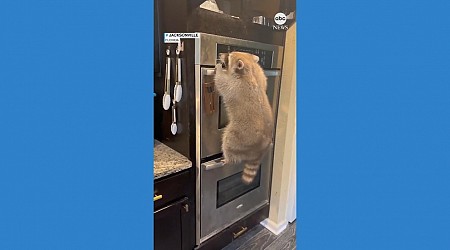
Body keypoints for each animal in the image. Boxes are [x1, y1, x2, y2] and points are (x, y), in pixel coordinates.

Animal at [215, 51, 274, 184]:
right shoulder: (261, 74)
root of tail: (259, 150)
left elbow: (221, 83)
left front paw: (218, 69)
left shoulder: (235, 86)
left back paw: (228, 159)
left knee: (228, 142)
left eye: (228, 57)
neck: (250, 69)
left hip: (239, 137)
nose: (220, 54)